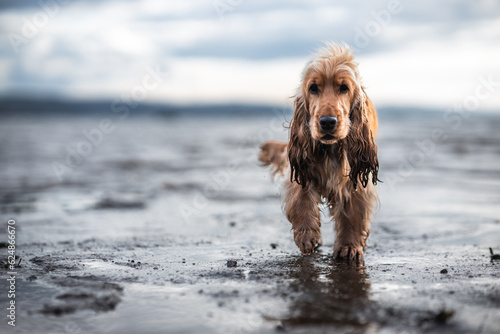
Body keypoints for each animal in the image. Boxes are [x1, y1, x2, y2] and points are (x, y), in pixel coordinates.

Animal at [260, 43, 376, 260]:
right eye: (313, 88)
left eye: (344, 87)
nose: (327, 122)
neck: (330, 148)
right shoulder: (301, 169)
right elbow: (301, 200)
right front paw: (307, 236)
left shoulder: (355, 178)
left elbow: (353, 214)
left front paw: (349, 246)